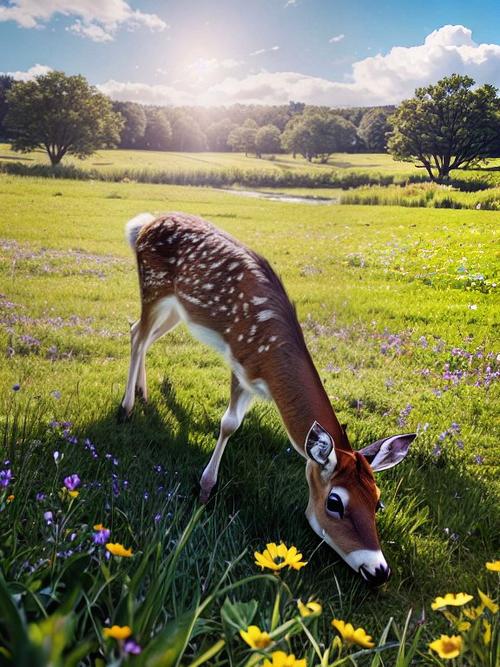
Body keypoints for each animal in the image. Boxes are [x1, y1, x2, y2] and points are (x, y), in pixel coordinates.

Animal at [120, 211, 416, 586]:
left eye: (378, 502)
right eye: (335, 502)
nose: (378, 571)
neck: (270, 361)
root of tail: (142, 224)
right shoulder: (241, 362)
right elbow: (229, 424)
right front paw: (205, 489)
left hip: (178, 307)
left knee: (143, 334)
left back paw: (143, 394)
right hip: (153, 285)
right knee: (137, 332)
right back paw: (126, 407)